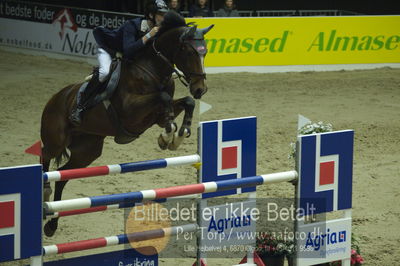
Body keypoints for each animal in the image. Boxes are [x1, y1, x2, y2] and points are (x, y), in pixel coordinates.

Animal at [41, 12, 214, 237]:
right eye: (189, 51)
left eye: (205, 52)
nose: (200, 89)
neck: (154, 69)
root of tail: (54, 99)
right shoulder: (131, 111)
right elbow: (164, 97)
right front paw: (168, 134)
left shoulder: (155, 116)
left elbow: (186, 102)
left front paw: (178, 135)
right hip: (56, 140)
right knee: (45, 156)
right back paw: (44, 190)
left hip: (86, 151)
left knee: (62, 177)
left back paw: (51, 225)